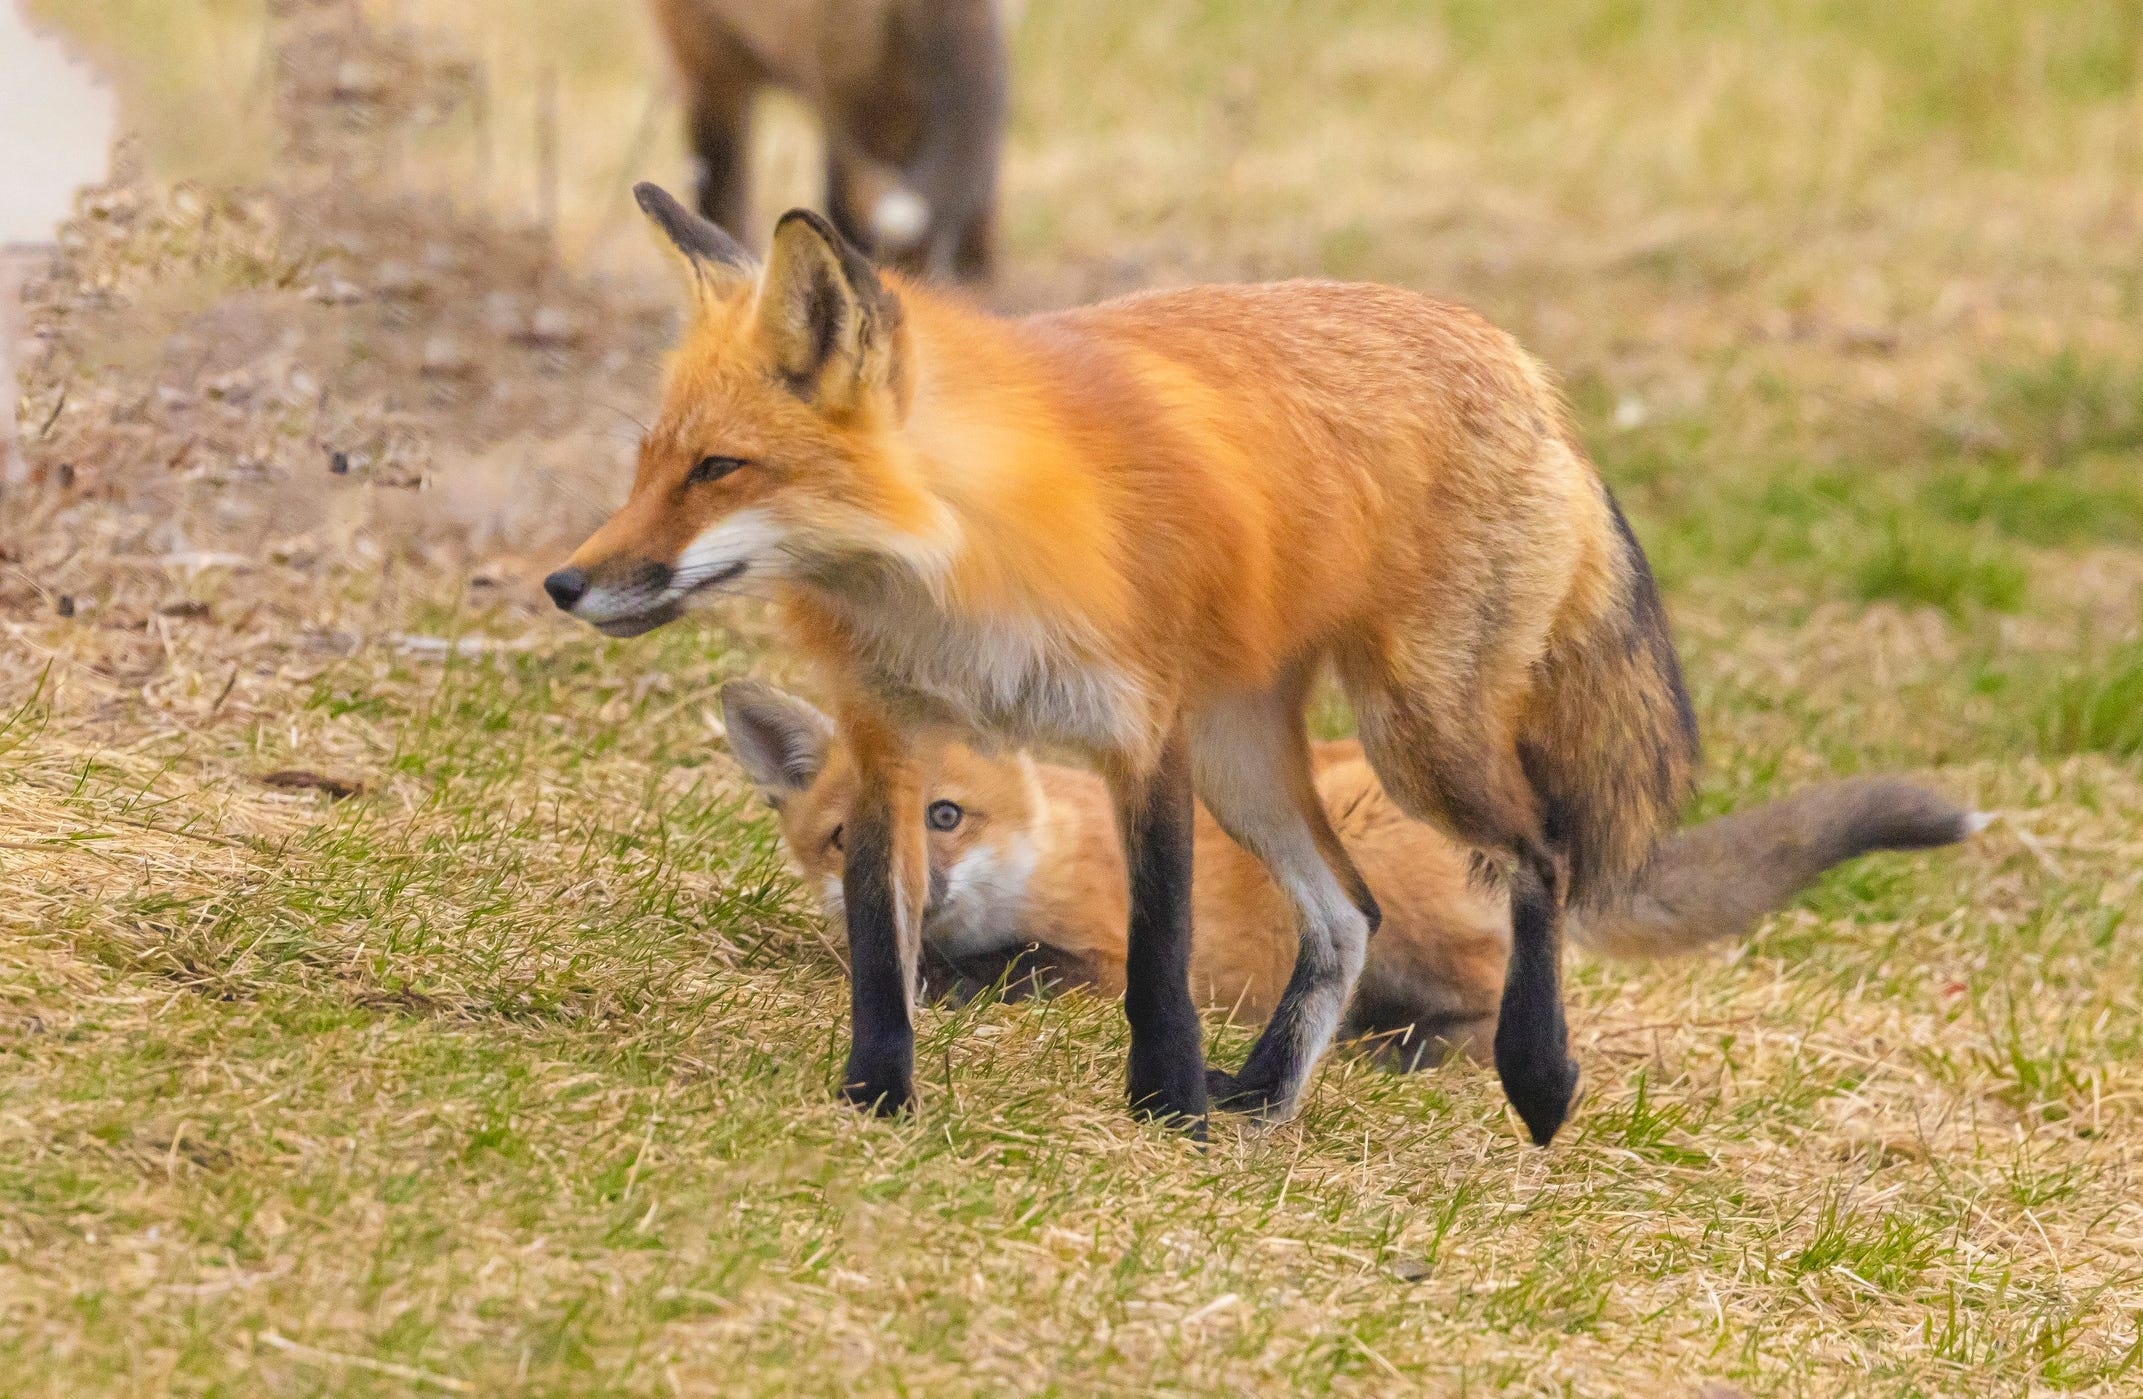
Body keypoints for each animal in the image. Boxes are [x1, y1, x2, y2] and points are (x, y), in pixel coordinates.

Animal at [547, 184, 1701, 1146]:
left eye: (719, 468)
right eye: (646, 466)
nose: (563, 582)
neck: (953, 577)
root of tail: (1514, 358)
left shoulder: (1141, 735)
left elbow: (1157, 954)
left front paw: (1167, 1109)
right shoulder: (883, 739)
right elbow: (881, 948)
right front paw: (876, 1097)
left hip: (1411, 738)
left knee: (1540, 853)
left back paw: (1535, 1072)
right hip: (1249, 760)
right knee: (1347, 915)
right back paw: (1265, 1097)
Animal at [720, 680, 1984, 1062]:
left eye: (946, 815)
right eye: (845, 838)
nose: (913, 897)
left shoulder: (1107, 954)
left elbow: (1018, 971)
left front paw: (946, 983)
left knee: (1494, 1009)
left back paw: (1405, 1046)